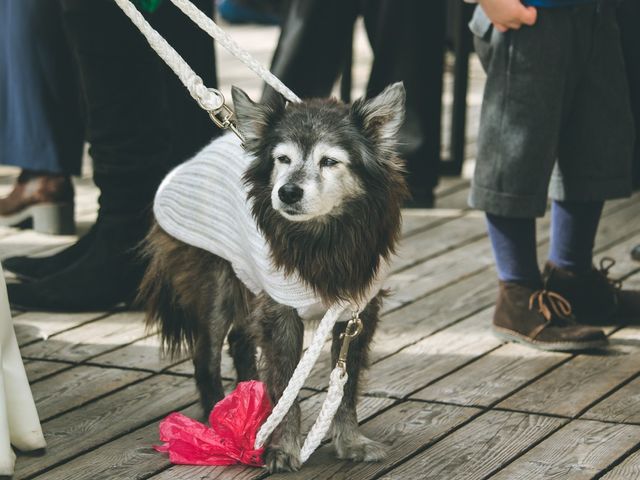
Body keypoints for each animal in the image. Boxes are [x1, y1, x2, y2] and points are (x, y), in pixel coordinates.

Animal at [140, 83, 410, 472]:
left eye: (330, 161)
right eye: (282, 159)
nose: (287, 192)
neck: (321, 237)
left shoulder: (357, 313)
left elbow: (346, 386)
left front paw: (350, 441)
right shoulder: (281, 311)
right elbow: (285, 387)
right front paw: (282, 447)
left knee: (240, 342)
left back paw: (249, 411)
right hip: (218, 287)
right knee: (206, 356)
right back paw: (219, 421)